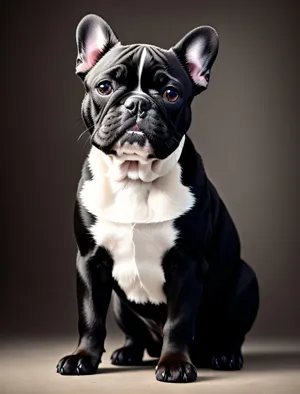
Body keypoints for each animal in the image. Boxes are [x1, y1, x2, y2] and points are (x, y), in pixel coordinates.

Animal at [56, 14, 260, 382]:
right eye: (105, 87)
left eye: (170, 94)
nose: (137, 102)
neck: (134, 177)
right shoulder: (89, 261)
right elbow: (90, 316)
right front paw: (82, 357)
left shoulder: (187, 265)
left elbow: (179, 322)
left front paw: (176, 364)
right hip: (121, 305)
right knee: (133, 331)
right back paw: (128, 352)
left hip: (246, 281)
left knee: (230, 333)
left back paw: (224, 355)